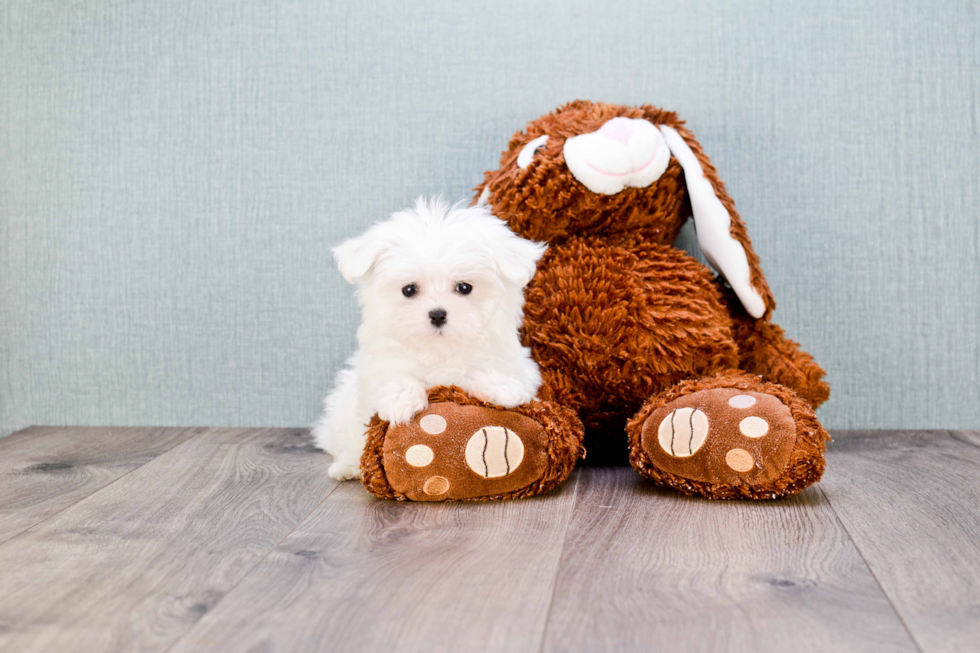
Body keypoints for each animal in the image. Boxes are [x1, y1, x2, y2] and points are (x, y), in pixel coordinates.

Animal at [312, 197, 548, 478]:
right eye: (409, 290)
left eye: (464, 287)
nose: (437, 314)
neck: (439, 348)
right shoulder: (379, 366)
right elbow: (392, 376)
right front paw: (402, 400)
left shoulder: (517, 364)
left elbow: (497, 372)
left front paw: (500, 388)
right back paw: (347, 467)